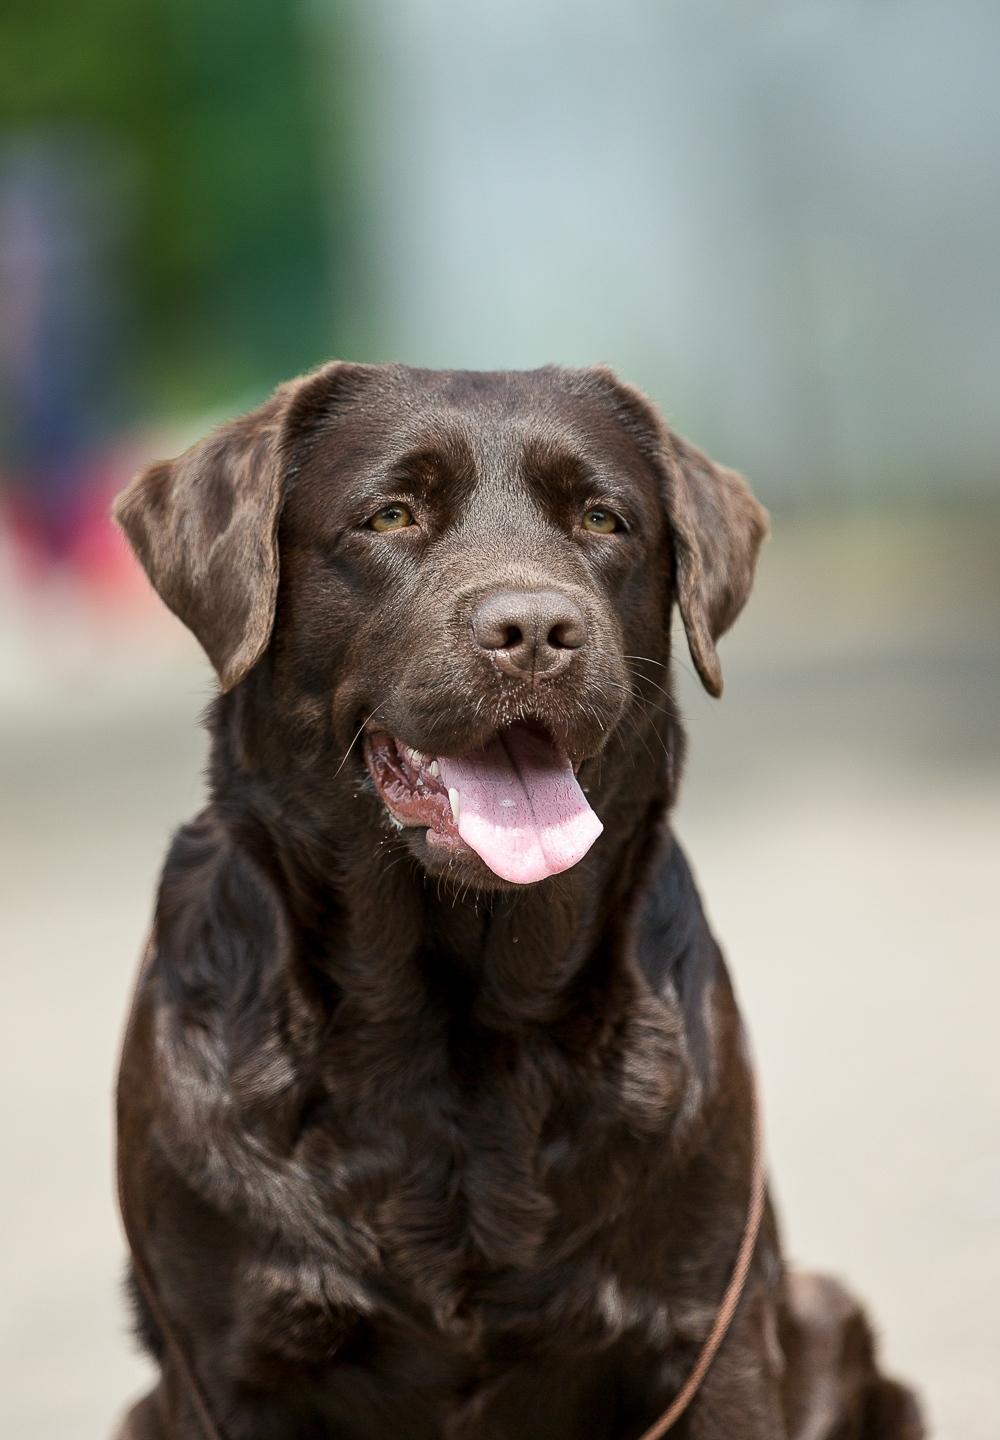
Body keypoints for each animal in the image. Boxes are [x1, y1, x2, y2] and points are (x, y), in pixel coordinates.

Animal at [111, 365, 922, 1434]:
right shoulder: (226, 1363)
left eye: (603, 519)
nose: (535, 631)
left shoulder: (712, 1332)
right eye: (391, 514)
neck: (453, 1024)